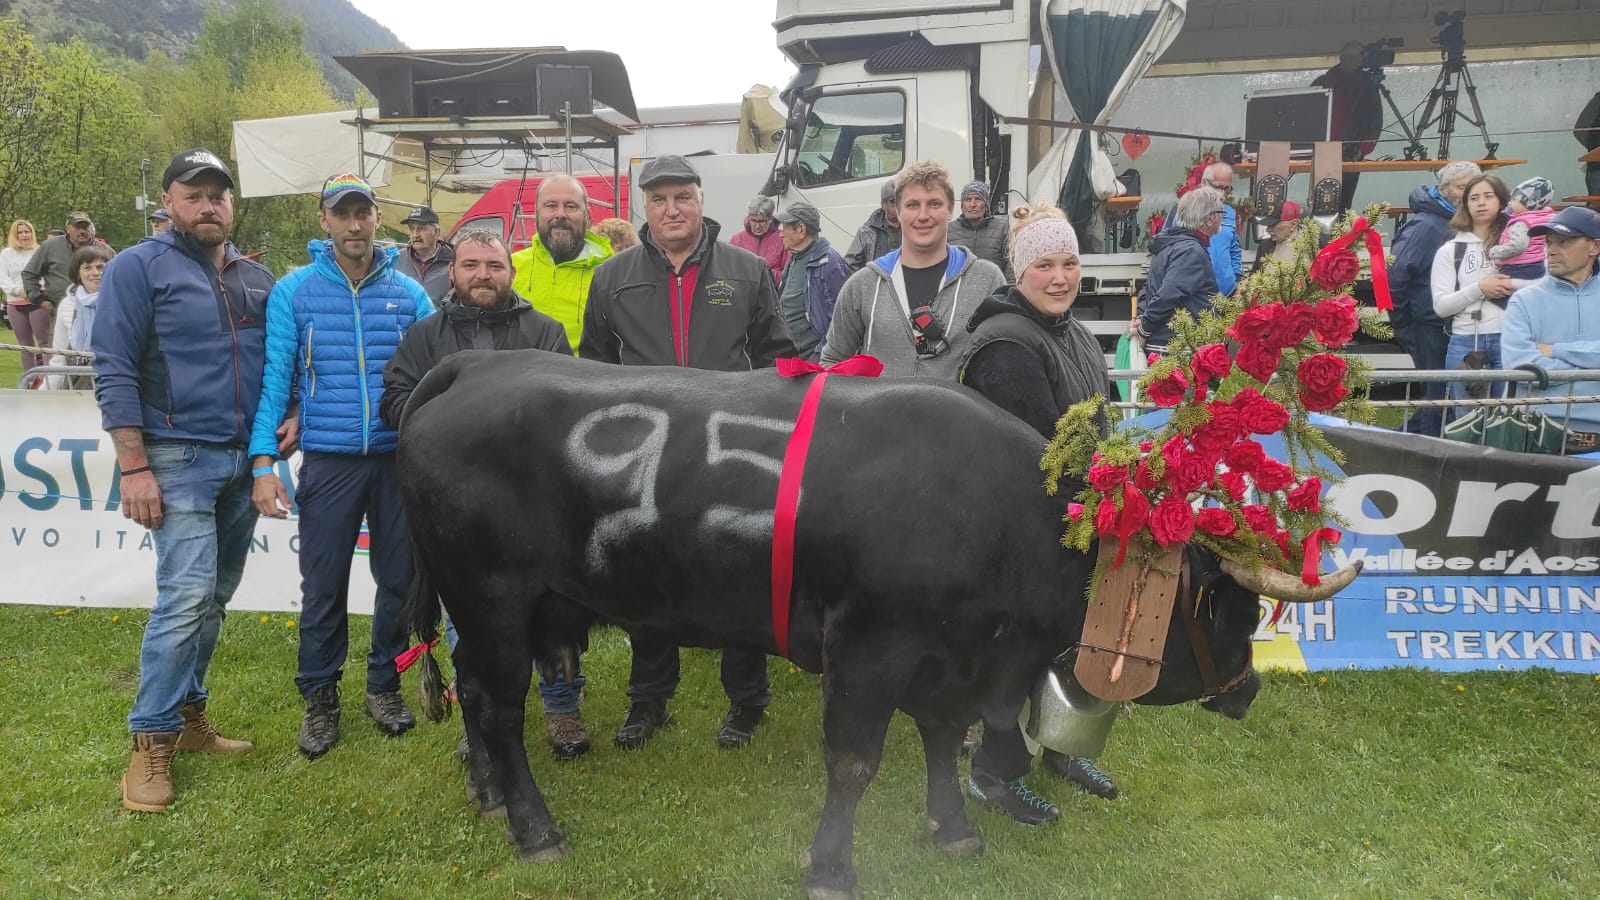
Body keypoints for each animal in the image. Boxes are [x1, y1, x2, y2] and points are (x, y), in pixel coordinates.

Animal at [396, 350, 1350, 896]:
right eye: (1230, 605)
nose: (1249, 689)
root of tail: (476, 366)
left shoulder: (951, 657)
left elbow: (942, 737)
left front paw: (954, 829)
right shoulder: (870, 645)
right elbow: (855, 763)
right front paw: (830, 868)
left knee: (475, 700)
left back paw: (488, 795)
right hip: (492, 599)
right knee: (497, 708)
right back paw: (534, 828)